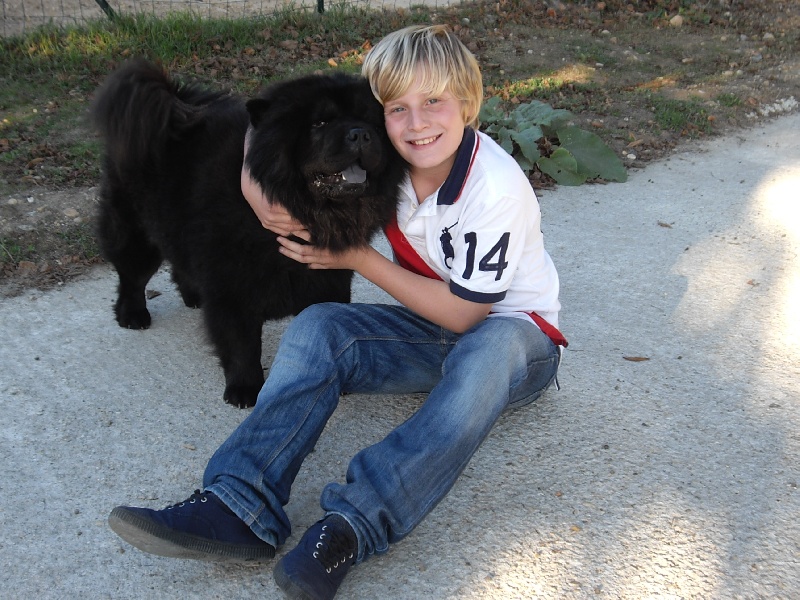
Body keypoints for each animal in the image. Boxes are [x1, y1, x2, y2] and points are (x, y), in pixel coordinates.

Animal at [92, 59, 406, 408]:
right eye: (320, 123)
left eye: (372, 123)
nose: (360, 133)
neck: (307, 209)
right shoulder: (232, 290)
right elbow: (242, 344)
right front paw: (244, 389)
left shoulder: (329, 279)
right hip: (136, 233)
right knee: (132, 275)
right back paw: (132, 314)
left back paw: (194, 296)